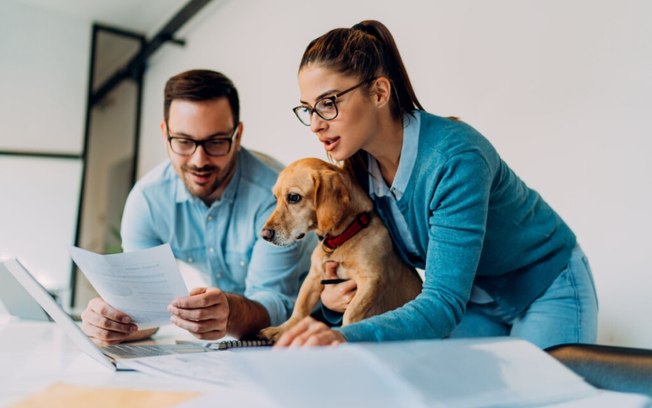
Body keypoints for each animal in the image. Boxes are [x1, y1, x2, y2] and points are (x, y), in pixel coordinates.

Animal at [260, 157, 422, 342]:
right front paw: (282, 329)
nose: (264, 235)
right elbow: (300, 308)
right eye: (275, 197)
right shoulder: (314, 277)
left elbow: (351, 313)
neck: (344, 236)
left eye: (294, 197)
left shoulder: (372, 280)